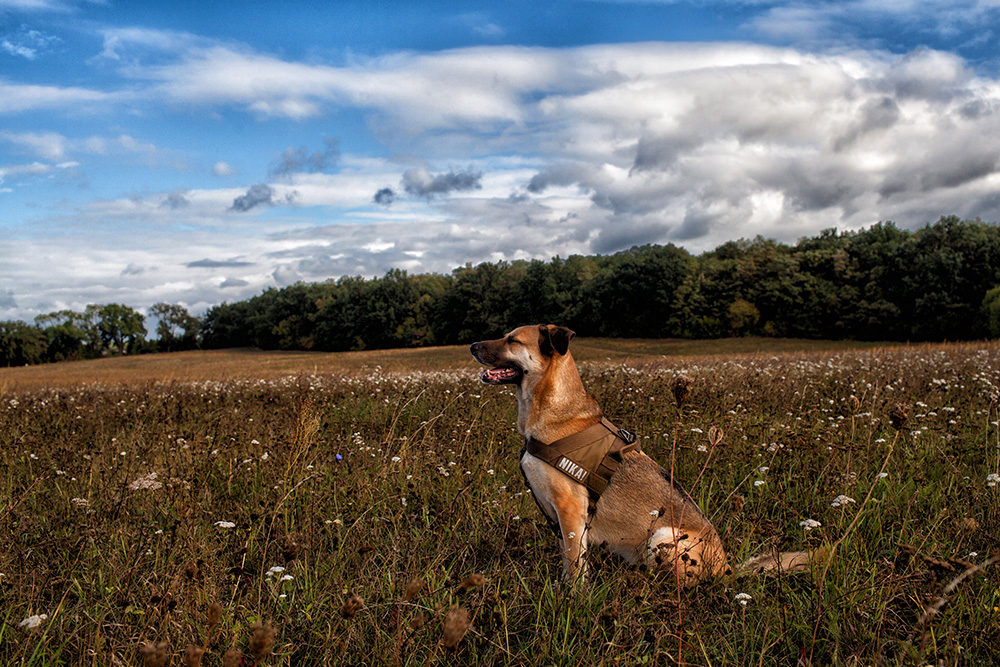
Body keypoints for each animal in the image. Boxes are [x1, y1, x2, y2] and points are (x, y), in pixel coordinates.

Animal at [468, 326, 812, 588]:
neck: (551, 408)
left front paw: (571, 596)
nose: (471, 345)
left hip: (663, 535)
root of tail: (726, 569)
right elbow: (569, 557)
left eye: (513, 340)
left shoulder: (570, 510)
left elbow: (574, 561)